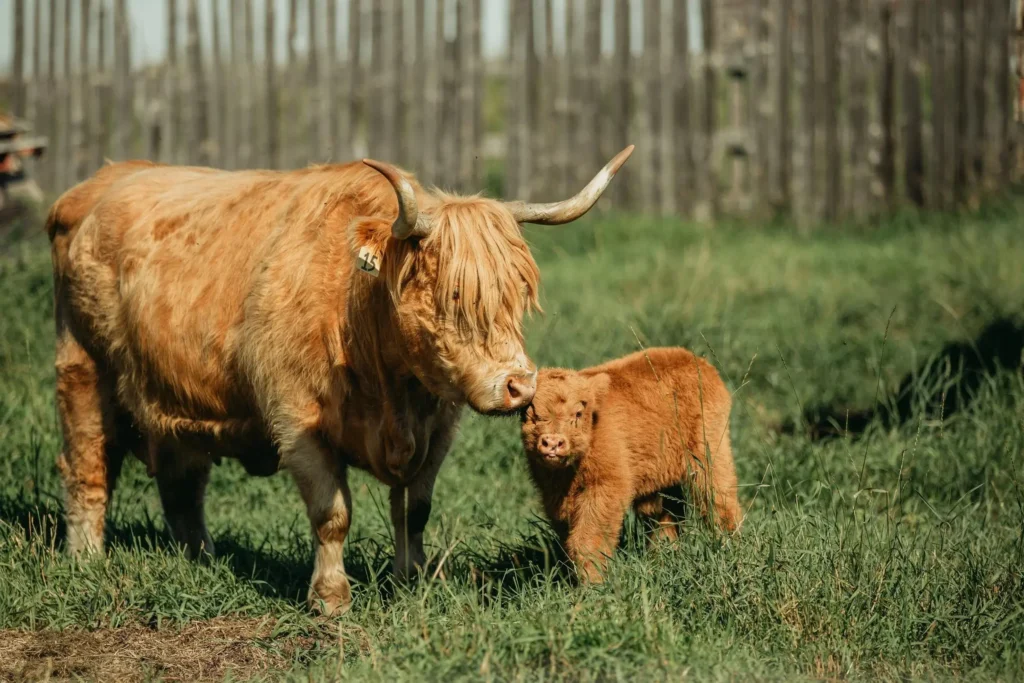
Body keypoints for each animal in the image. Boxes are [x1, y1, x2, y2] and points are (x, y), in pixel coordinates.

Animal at [45, 146, 633, 615]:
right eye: (453, 294)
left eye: (517, 294)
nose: (519, 385)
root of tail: (100, 183)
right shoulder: (298, 423)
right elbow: (332, 514)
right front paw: (330, 599)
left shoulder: (439, 428)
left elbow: (415, 511)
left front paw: (413, 580)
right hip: (83, 366)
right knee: (88, 468)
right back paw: (86, 560)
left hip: (173, 398)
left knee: (182, 485)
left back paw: (202, 561)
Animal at [519, 347, 741, 583]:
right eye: (531, 414)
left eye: (578, 413)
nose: (552, 442)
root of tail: (698, 362)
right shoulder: (554, 499)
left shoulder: (607, 488)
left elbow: (588, 540)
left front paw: (593, 583)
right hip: (662, 479)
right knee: (666, 516)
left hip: (710, 454)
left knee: (719, 501)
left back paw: (730, 546)